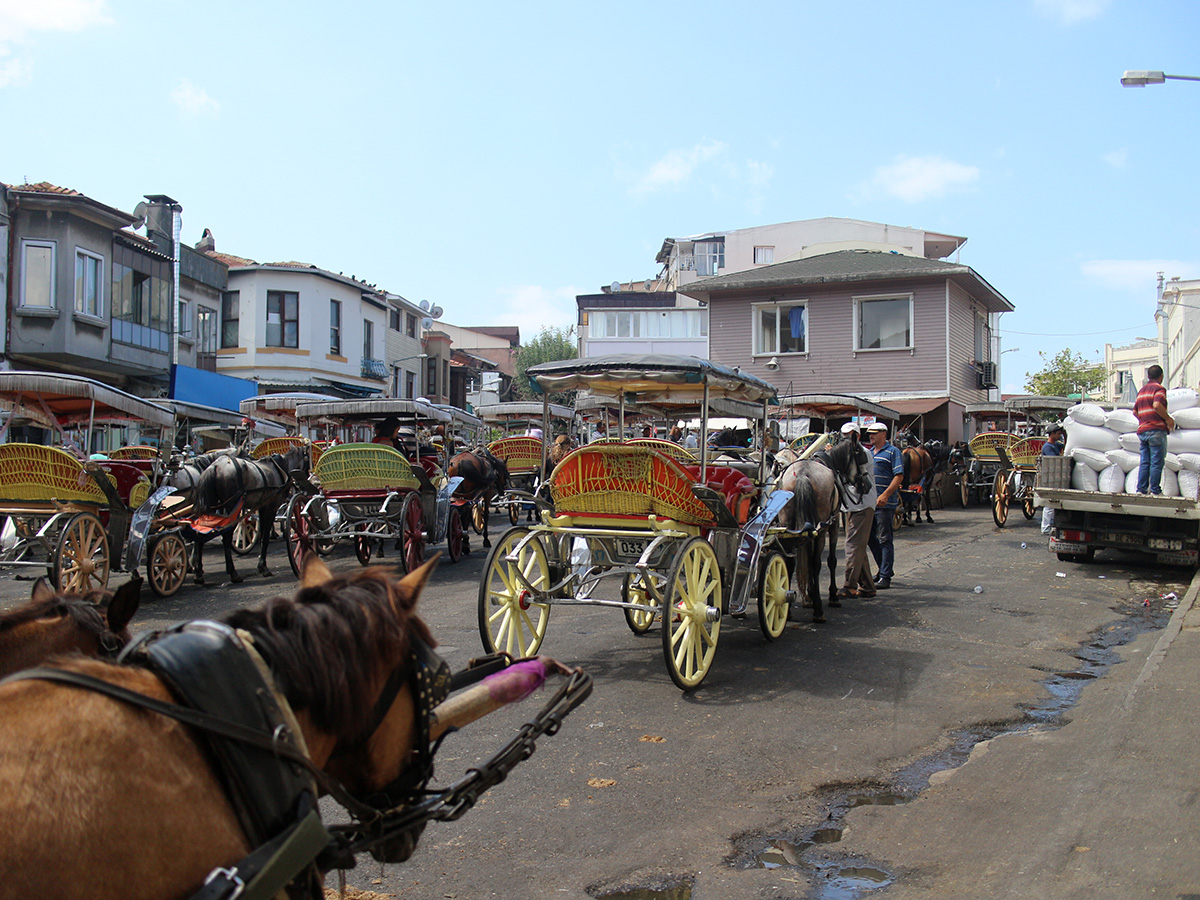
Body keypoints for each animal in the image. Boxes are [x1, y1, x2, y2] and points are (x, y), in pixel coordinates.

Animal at [187, 444, 309, 585]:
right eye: (307, 460)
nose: (304, 486)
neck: (280, 468)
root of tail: (215, 466)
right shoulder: (271, 507)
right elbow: (265, 536)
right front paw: (263, 567)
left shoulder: (262, 506)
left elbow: (262, 534)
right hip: (230, 505)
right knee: (226, 536)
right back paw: (233, 573)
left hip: (212, 505)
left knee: (200, 534)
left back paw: (198, 573)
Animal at [777, 439, 873, 624]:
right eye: (861, 457)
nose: (868, 485)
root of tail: (802, 474)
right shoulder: (833, 524)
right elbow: (830, 560)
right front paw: (831, 596)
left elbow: (805, 559)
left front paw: (808, 596)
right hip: (820, 530)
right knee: (816, 562)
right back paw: (818, 610)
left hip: (788, 525)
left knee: (790, 562)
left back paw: (789, 607)